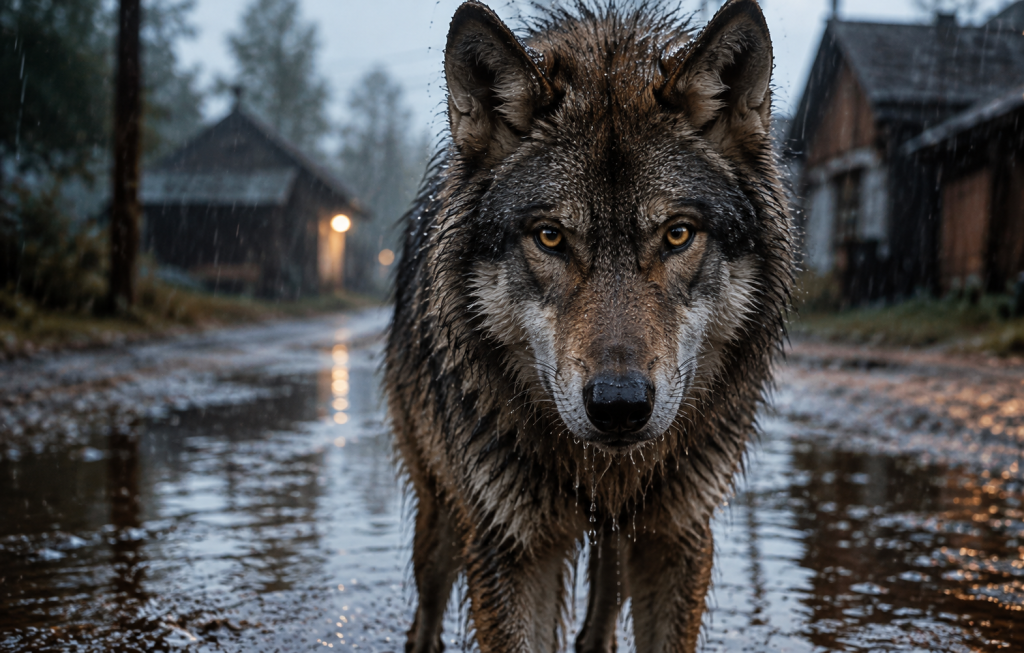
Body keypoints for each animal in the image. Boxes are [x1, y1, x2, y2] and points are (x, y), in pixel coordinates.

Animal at [384, 0, 792, 651]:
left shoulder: (676, 537)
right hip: (444, 510)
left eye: (678, 234)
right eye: (551, 236)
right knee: (427, 603)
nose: (619, 406)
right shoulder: (509, 545)